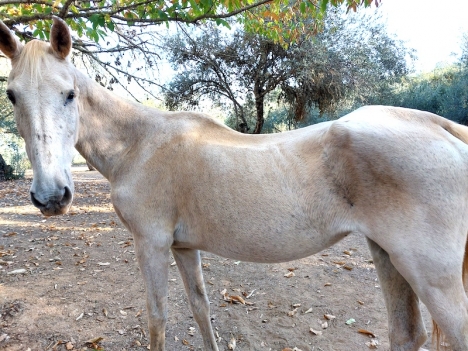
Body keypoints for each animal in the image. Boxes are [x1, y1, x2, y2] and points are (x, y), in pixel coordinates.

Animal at [0, 17, 468, 351]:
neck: (139, 145)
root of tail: (439, 125)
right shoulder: (183, 248)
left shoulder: (151, 244)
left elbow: (158, 319)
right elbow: (201, 309)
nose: (51, 196)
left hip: (431, 275)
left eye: (69, 94)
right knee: (406, 334)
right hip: (388, 255)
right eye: (11, 95)